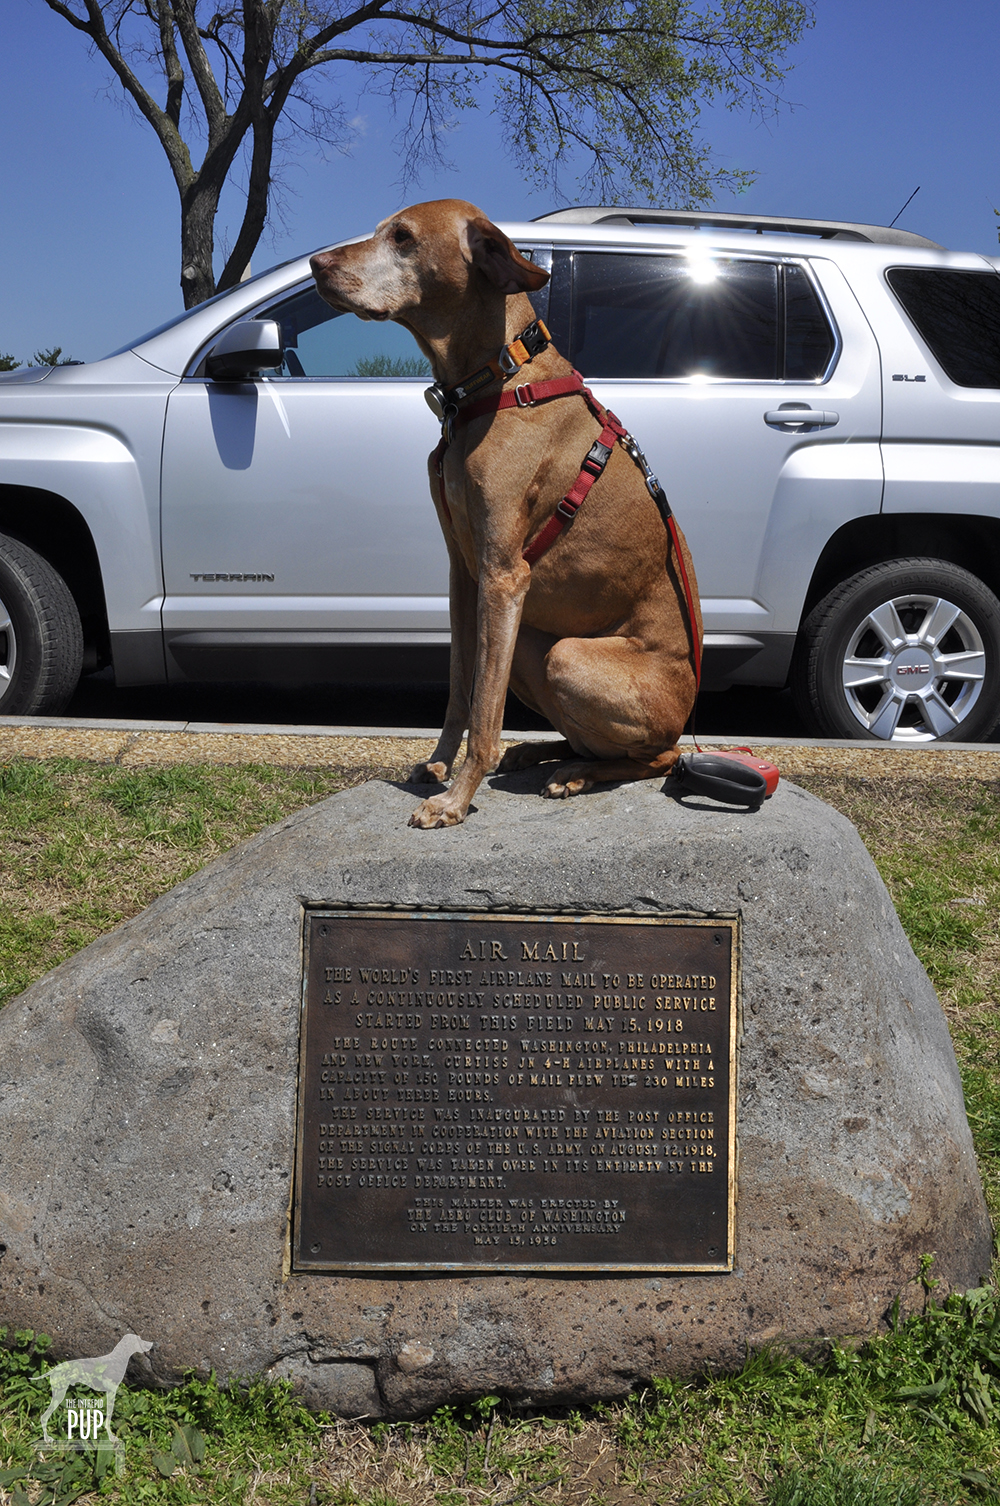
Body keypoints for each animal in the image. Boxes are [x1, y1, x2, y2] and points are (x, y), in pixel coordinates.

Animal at [308, 198, 698, 825]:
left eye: (403, 237)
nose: (316, 265)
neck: (498, 376)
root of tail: (687, 711)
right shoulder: (463, 574)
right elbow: (460, 691)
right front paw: (438, 766)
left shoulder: (503, 576)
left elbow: (485, 710)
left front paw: (456, 799)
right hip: (532, 650)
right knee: (588, 737)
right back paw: (543, 754)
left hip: (571, 658)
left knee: (658, 756)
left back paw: (576, 774)